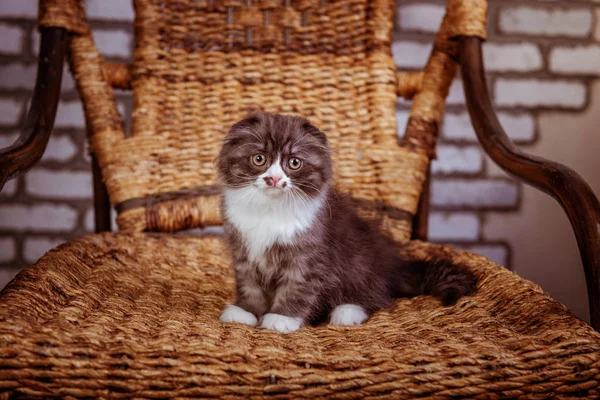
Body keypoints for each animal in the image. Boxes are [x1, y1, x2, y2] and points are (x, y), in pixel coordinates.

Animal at [218, 111, 476, 332]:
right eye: (259, 159)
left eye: (294, 163)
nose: (273, 179)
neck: (269, 210)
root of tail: (393, 266)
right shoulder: (244, 252)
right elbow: (250, 286)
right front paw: (246, 311)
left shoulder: (308, 255)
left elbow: (296, 287)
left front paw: (282, 318)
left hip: (360, 266)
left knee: (375, 297)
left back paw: (347, 312)